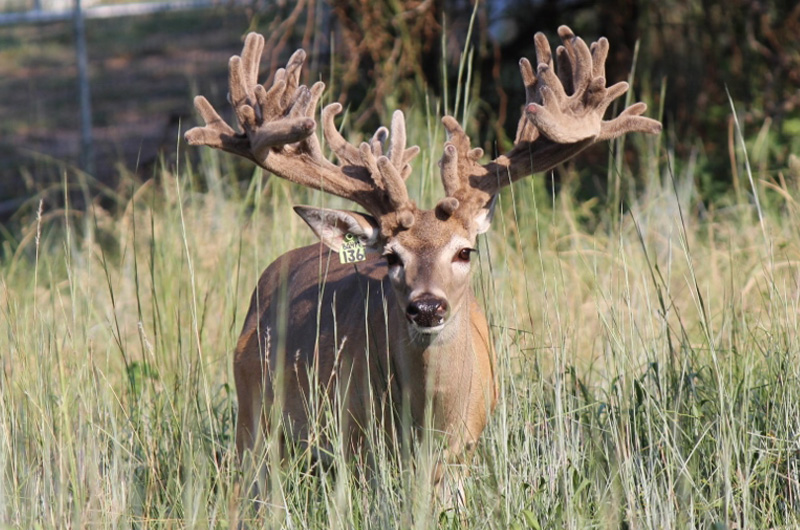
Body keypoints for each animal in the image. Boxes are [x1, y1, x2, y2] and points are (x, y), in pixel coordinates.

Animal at [185, 25, 661, 501]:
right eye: (391, 256)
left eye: (465, 251)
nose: (427, 307)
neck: (430, 422)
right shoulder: (358, 443)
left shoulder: (465, 450)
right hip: (254, 418)